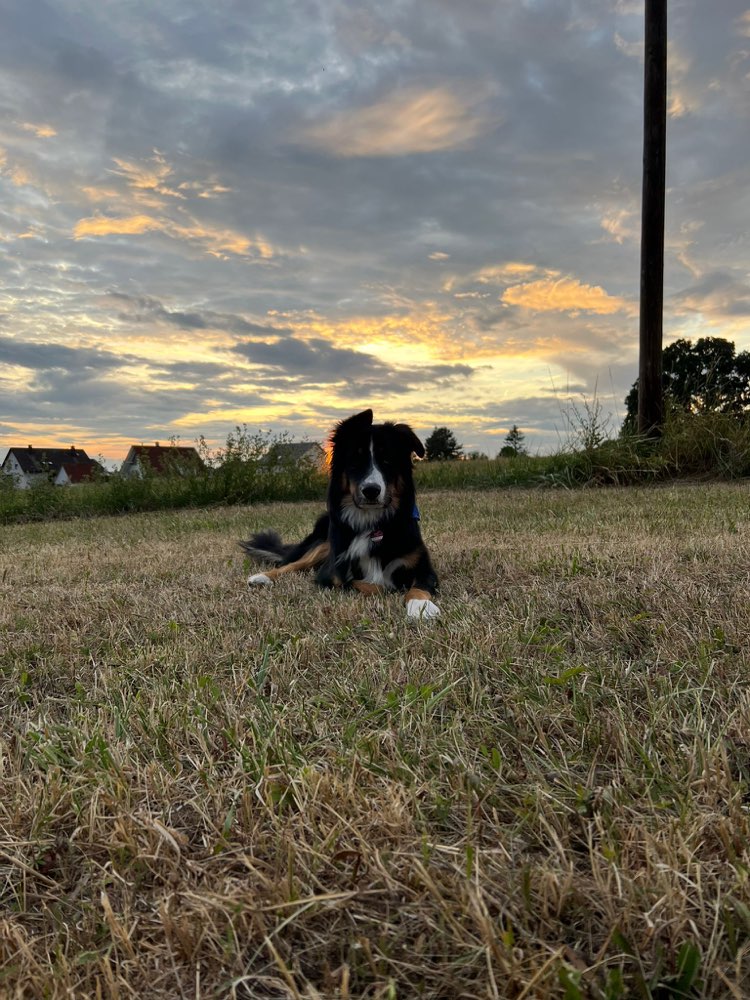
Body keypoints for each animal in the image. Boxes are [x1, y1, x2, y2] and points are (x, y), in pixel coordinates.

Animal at [241, 406, 440, 616]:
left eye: (387, 460)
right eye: (355, 461)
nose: (371, 490)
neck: (371, 522)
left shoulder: (424, 568)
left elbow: (417, 586)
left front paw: (420, 606)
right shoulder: (333, 574)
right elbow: (373, 586)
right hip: (324, 545)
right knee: (292, 564)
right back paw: (262, 577)